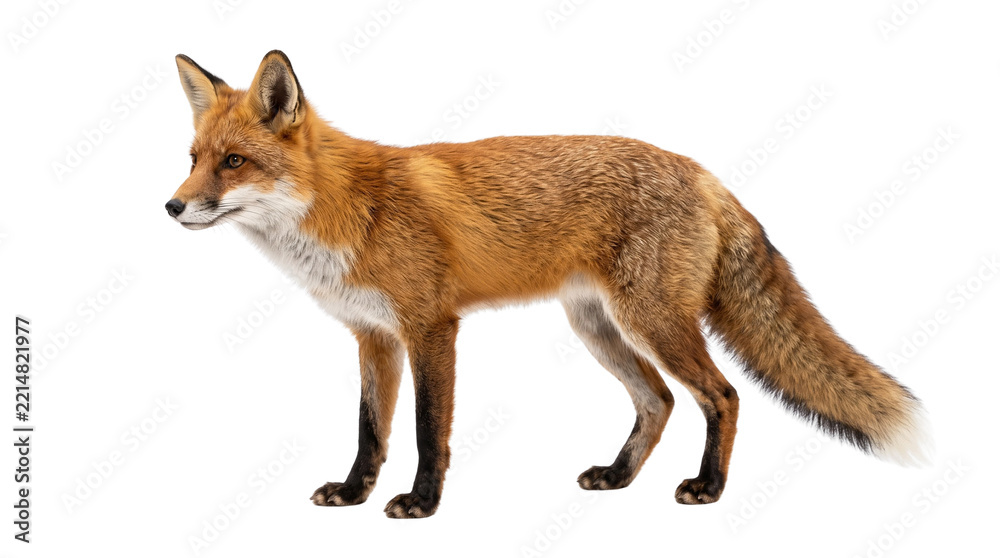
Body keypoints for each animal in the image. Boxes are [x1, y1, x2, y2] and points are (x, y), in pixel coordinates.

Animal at [166, 50, 930, 518]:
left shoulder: (430, 327)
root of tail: (701, 171)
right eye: (193, 158)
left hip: (653, 322)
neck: (348, 209)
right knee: (658, 402)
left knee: (722, 395)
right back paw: (619, 477)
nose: (171, 207)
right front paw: (354, 492)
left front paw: (421, 504)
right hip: (598, 328)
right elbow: (369, 430)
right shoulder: (372, 336)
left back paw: (708, 487)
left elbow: (426, 431)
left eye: (234, 163)